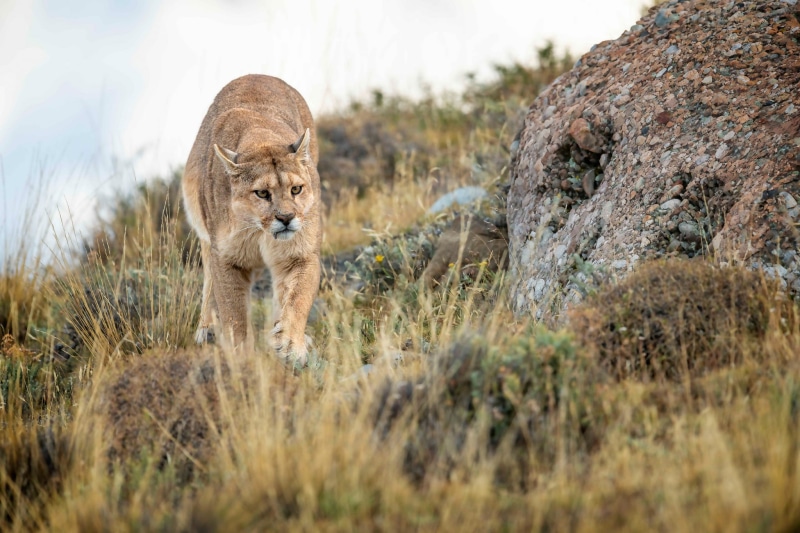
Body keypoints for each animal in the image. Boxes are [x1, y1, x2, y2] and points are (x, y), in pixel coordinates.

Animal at [182, 74, 322, 366]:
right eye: (262, 193)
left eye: (296, 189)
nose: (286, 217)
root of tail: (256, 75)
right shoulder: (225, 258)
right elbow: (233, 312)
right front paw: (240, 358)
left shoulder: (300, 254)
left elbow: (297, 298)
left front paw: (289, 343)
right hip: (205, 237)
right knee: (208, 282)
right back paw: (206, 330)